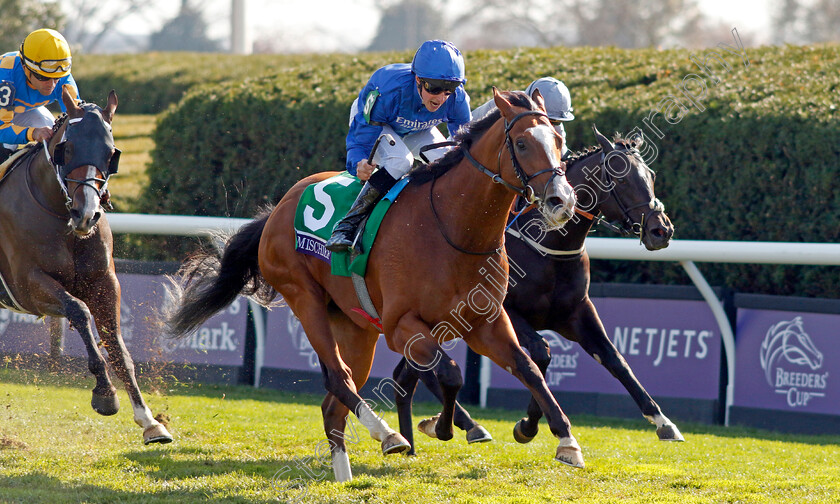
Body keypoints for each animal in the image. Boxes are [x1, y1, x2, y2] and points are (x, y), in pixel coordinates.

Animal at [0, 87, 172, 444]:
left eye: (110, 154)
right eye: (68, 149)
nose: (87, 214)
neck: (57, 212)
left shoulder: (104, 281)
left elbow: (118, 348)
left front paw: (150, 422)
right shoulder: (26, 286)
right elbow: (79, 311)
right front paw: (105, 394)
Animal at [166, 89, 584, 480]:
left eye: (558, 141)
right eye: (523, 143)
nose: (561, 201)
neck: (454, 229)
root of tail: (277, 209)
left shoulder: (486, 322)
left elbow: (528, 367)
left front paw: (564, 440)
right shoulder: (402, 327)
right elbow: (451, 373)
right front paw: (440, 426)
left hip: (355, 326)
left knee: (334, 403)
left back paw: (344, 473)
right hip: (305, 298)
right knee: (338, 379)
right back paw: (387, 435)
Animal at [392, 125, 684, 452]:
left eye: (651, 175)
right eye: (621, 177)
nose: (661, 230)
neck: (548, 246)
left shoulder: (576, 313)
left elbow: (615, 360)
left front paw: (663, 422)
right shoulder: (506, 311)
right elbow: (541, 354)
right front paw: (528, 425)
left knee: (406, 375)